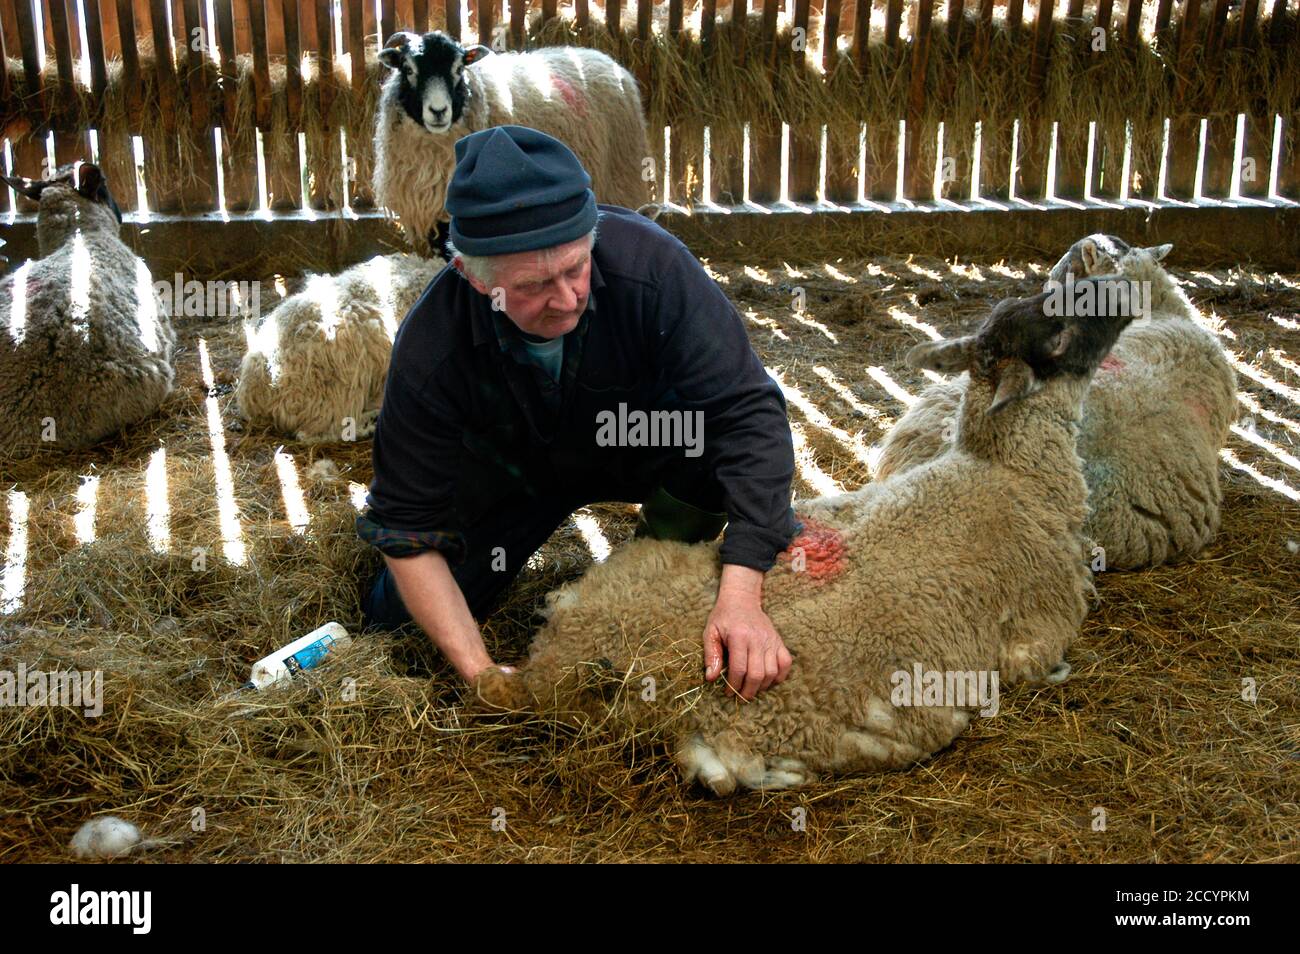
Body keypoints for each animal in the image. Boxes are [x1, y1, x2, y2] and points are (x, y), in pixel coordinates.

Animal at [475, 278, 1128, 800]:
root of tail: (555, 672)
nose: (1116, 289)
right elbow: (1039, 663)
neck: (1006, 471)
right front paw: (1063, 673)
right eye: (1059, 332)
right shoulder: (1039, 630)